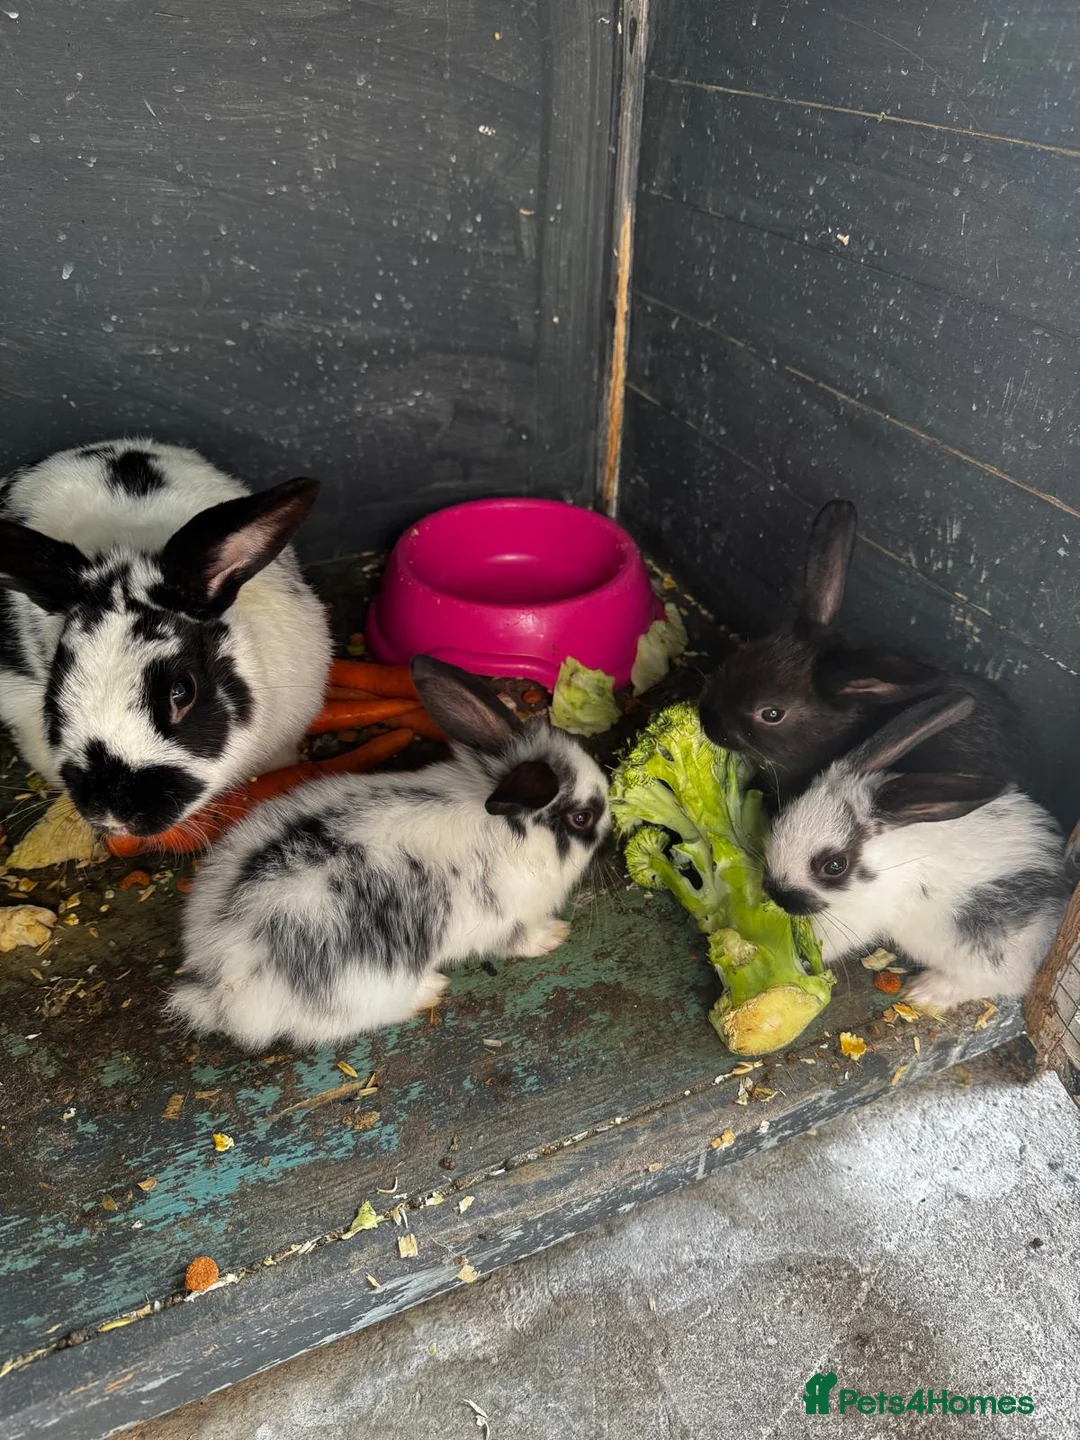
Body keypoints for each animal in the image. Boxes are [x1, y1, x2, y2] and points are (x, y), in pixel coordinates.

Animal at [168, 655, 612, 1050]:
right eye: (582, 818)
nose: (611, 840)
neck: (514, 830)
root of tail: (222, 977)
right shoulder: (507, 918)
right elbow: (518, 940)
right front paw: (554, 935)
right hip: (363, 984)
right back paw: (430, 989)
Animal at [763, 691, 1069, 1013]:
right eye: (781, 817)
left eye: (835, 866)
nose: (777, 895)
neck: (887, 862)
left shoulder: (857, 920)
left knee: (1001, 981)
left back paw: (925, 990)